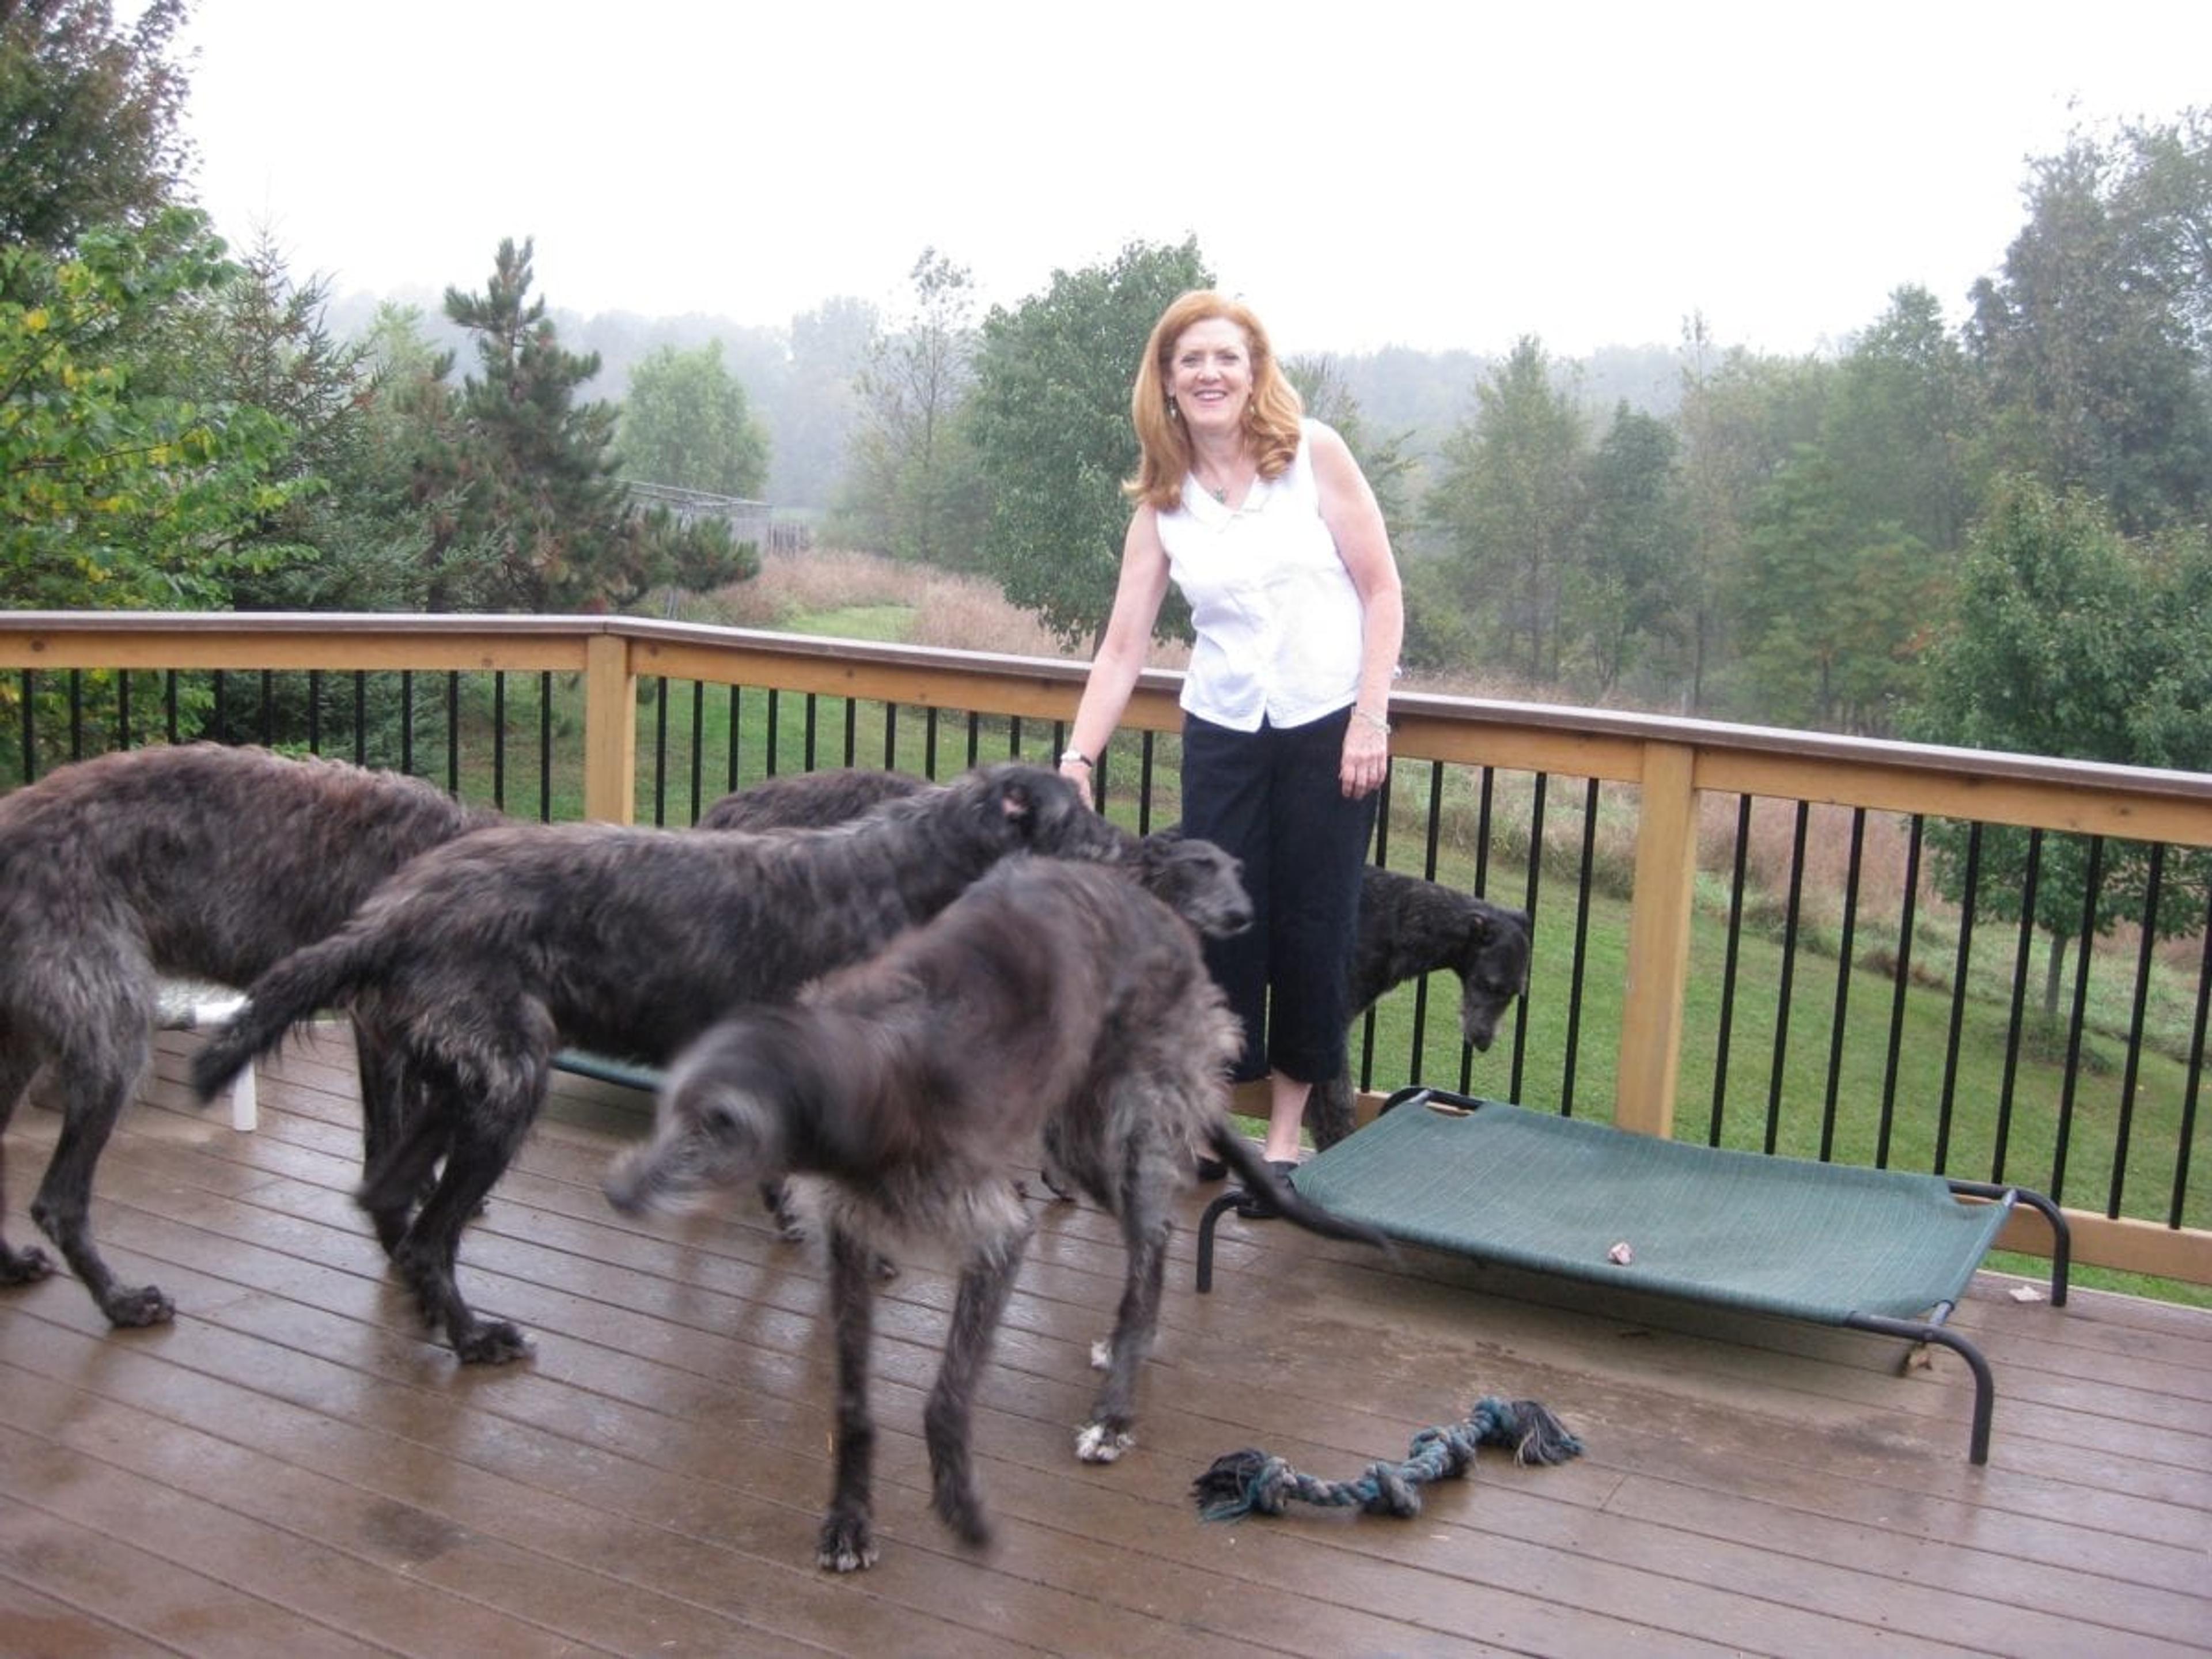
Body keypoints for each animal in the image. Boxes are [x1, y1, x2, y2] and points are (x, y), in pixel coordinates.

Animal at [0, 747, 493, 1336]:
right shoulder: (380, 1027)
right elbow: (384, 1144)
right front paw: (414, 1265)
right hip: (110, 1033)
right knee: (59, 1201)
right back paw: (122, 1302)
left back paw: (12, 1265)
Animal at [188, 765, 1123, 1362]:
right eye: (1079, 811)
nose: (1133, 849)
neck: (906, 870)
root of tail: (395, 910)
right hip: (508, 1085)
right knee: (429, 1237)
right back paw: (472, 1336)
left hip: (464, 1083)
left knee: (389, 1200)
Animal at [606, 858, 1389, 1575]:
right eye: (671, 1108)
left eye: (722, 1122)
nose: (619, 1193)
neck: (882, 1074)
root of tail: (1163, 914)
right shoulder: (850, 1237)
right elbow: (853, 1404)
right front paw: (848, 1523)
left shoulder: (998, 1235)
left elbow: (947, 1397)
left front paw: (963, 1512)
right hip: (1074, 1141)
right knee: (1151, 1236)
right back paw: (1123, 1348)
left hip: (1127, 1117)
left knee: (1152, 1237)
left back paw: (1113, 1415)